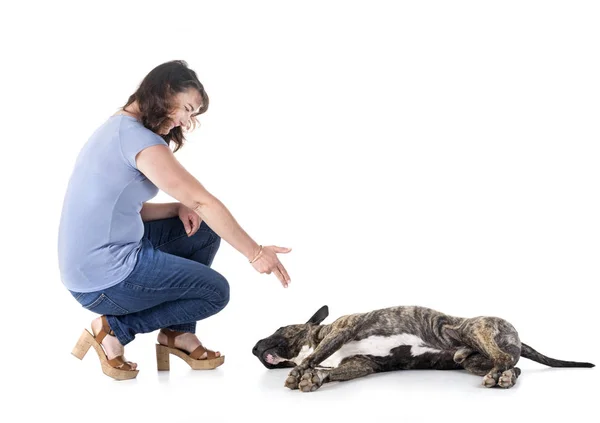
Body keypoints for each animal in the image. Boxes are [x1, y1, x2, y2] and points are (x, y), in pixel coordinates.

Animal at [251, 304, 592, 394]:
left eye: (279, 329)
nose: (253, 348)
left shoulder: (342, 330)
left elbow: (311, 356)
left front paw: (301, 371)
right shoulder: (361, 364)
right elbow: (328, 370)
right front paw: (315, 377)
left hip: (471, 329)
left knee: (503, 357)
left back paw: (500, 374)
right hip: (473, 361)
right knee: (512, 364)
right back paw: (501, 374)